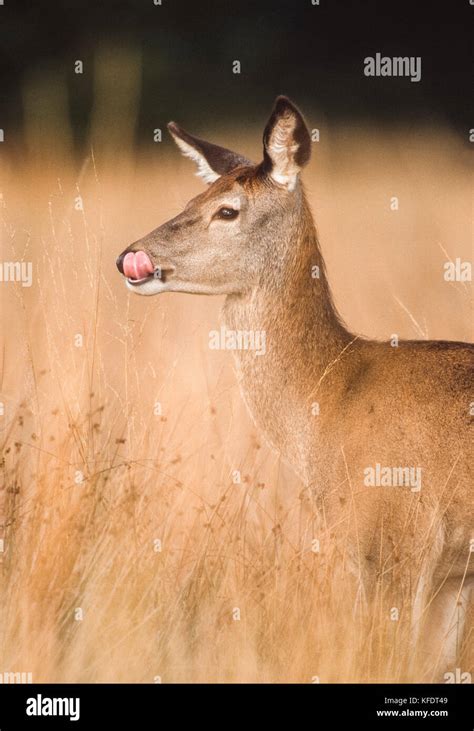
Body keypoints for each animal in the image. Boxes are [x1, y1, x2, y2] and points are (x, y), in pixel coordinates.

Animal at [115, 97, 474, 680]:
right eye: (193, 197)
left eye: (228, 210)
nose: (132, 258)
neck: (332, 397)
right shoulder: (450, 573)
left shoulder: (394, 541)